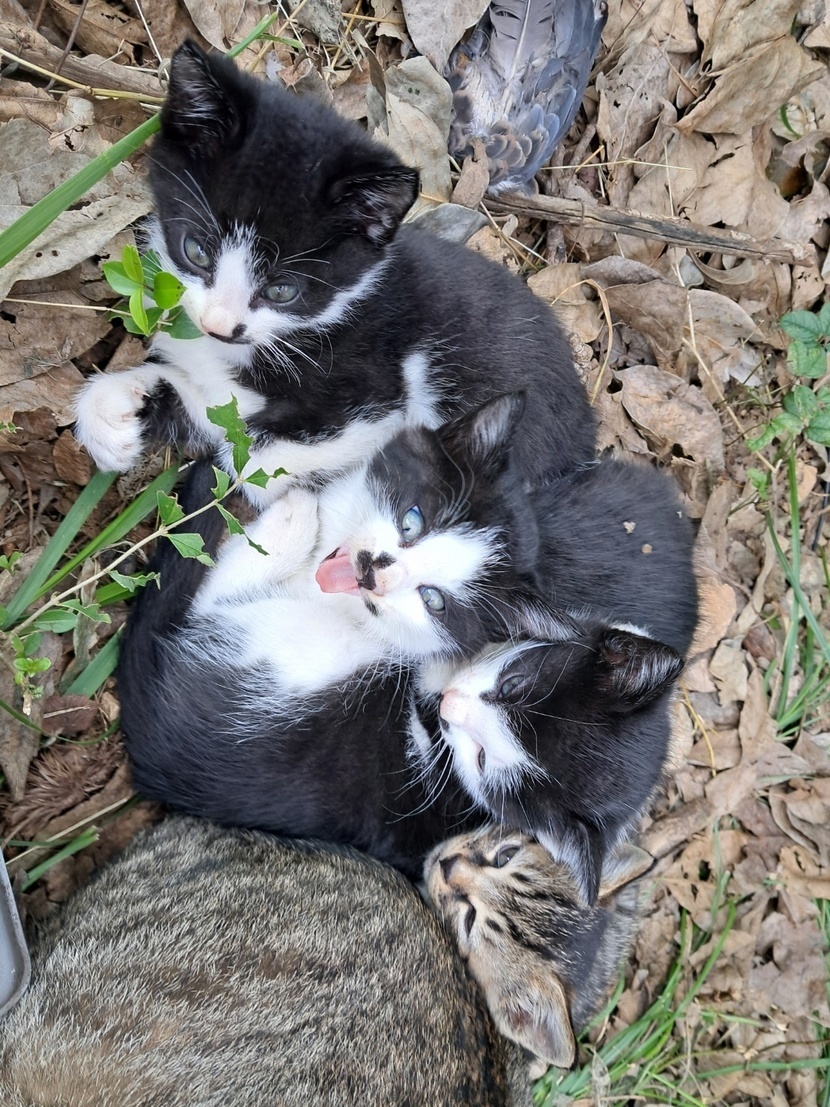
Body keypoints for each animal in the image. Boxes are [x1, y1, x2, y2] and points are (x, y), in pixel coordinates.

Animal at [72, 39, 596, 506]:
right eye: (196, 251)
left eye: (283, 290)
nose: (219, 326)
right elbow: (220, 412)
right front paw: (113, 412)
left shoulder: (378, 386)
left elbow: (260, 457)